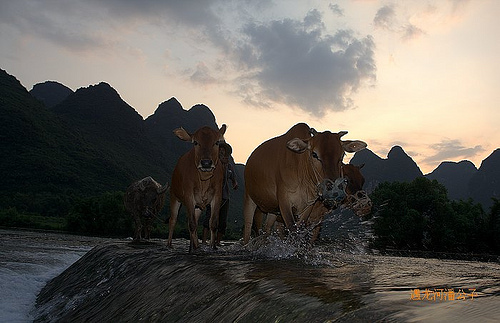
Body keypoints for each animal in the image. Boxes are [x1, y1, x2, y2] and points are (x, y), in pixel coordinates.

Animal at [168, 124, 227, 253]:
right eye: (195, 142)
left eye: (217, 142)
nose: (206, 163)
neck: (204, 179)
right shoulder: (188, 195)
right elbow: (192, 224)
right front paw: (193, 250)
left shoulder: (218, 196)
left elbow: (213, 223)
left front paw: (212, 247)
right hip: (174, 196)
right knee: (173, 221)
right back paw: (170, 245)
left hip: (197, 207)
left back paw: (196, 246)